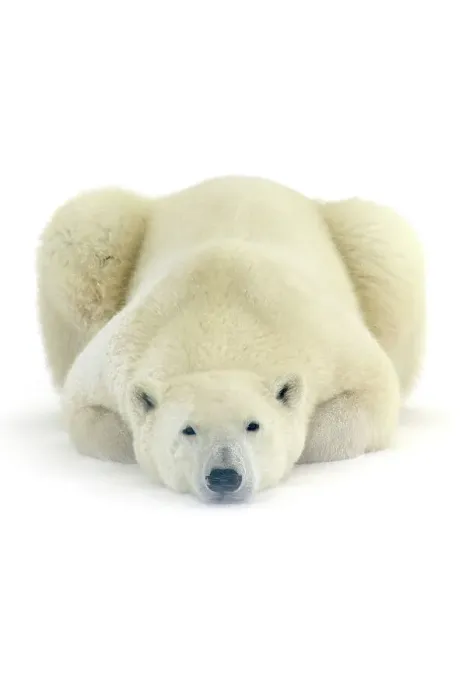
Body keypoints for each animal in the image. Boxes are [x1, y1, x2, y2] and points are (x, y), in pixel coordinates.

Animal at [36, 176, 425, 502]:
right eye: (188, 429)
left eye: (253, 424)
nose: (224, 476)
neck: (219, 319)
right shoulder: (122, 349)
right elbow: (88, 413)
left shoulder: (322, 336)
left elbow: (372, 395)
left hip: (367, 247)